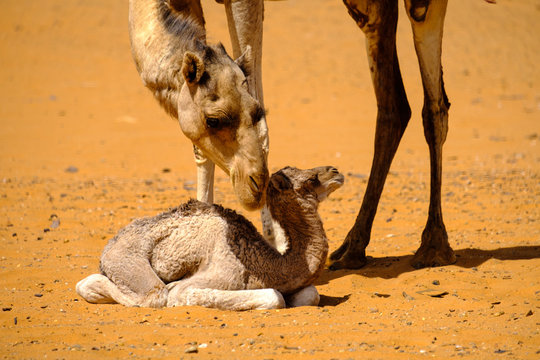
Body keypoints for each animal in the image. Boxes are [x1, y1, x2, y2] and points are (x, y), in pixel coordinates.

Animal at [76, 166, 344, 310]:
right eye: (310, 180)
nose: (336, 172)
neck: (268, 265)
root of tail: (108, 247)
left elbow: (311, 293)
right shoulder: (215, 274)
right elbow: (274, 297)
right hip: (127, 260)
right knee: (152, 296)